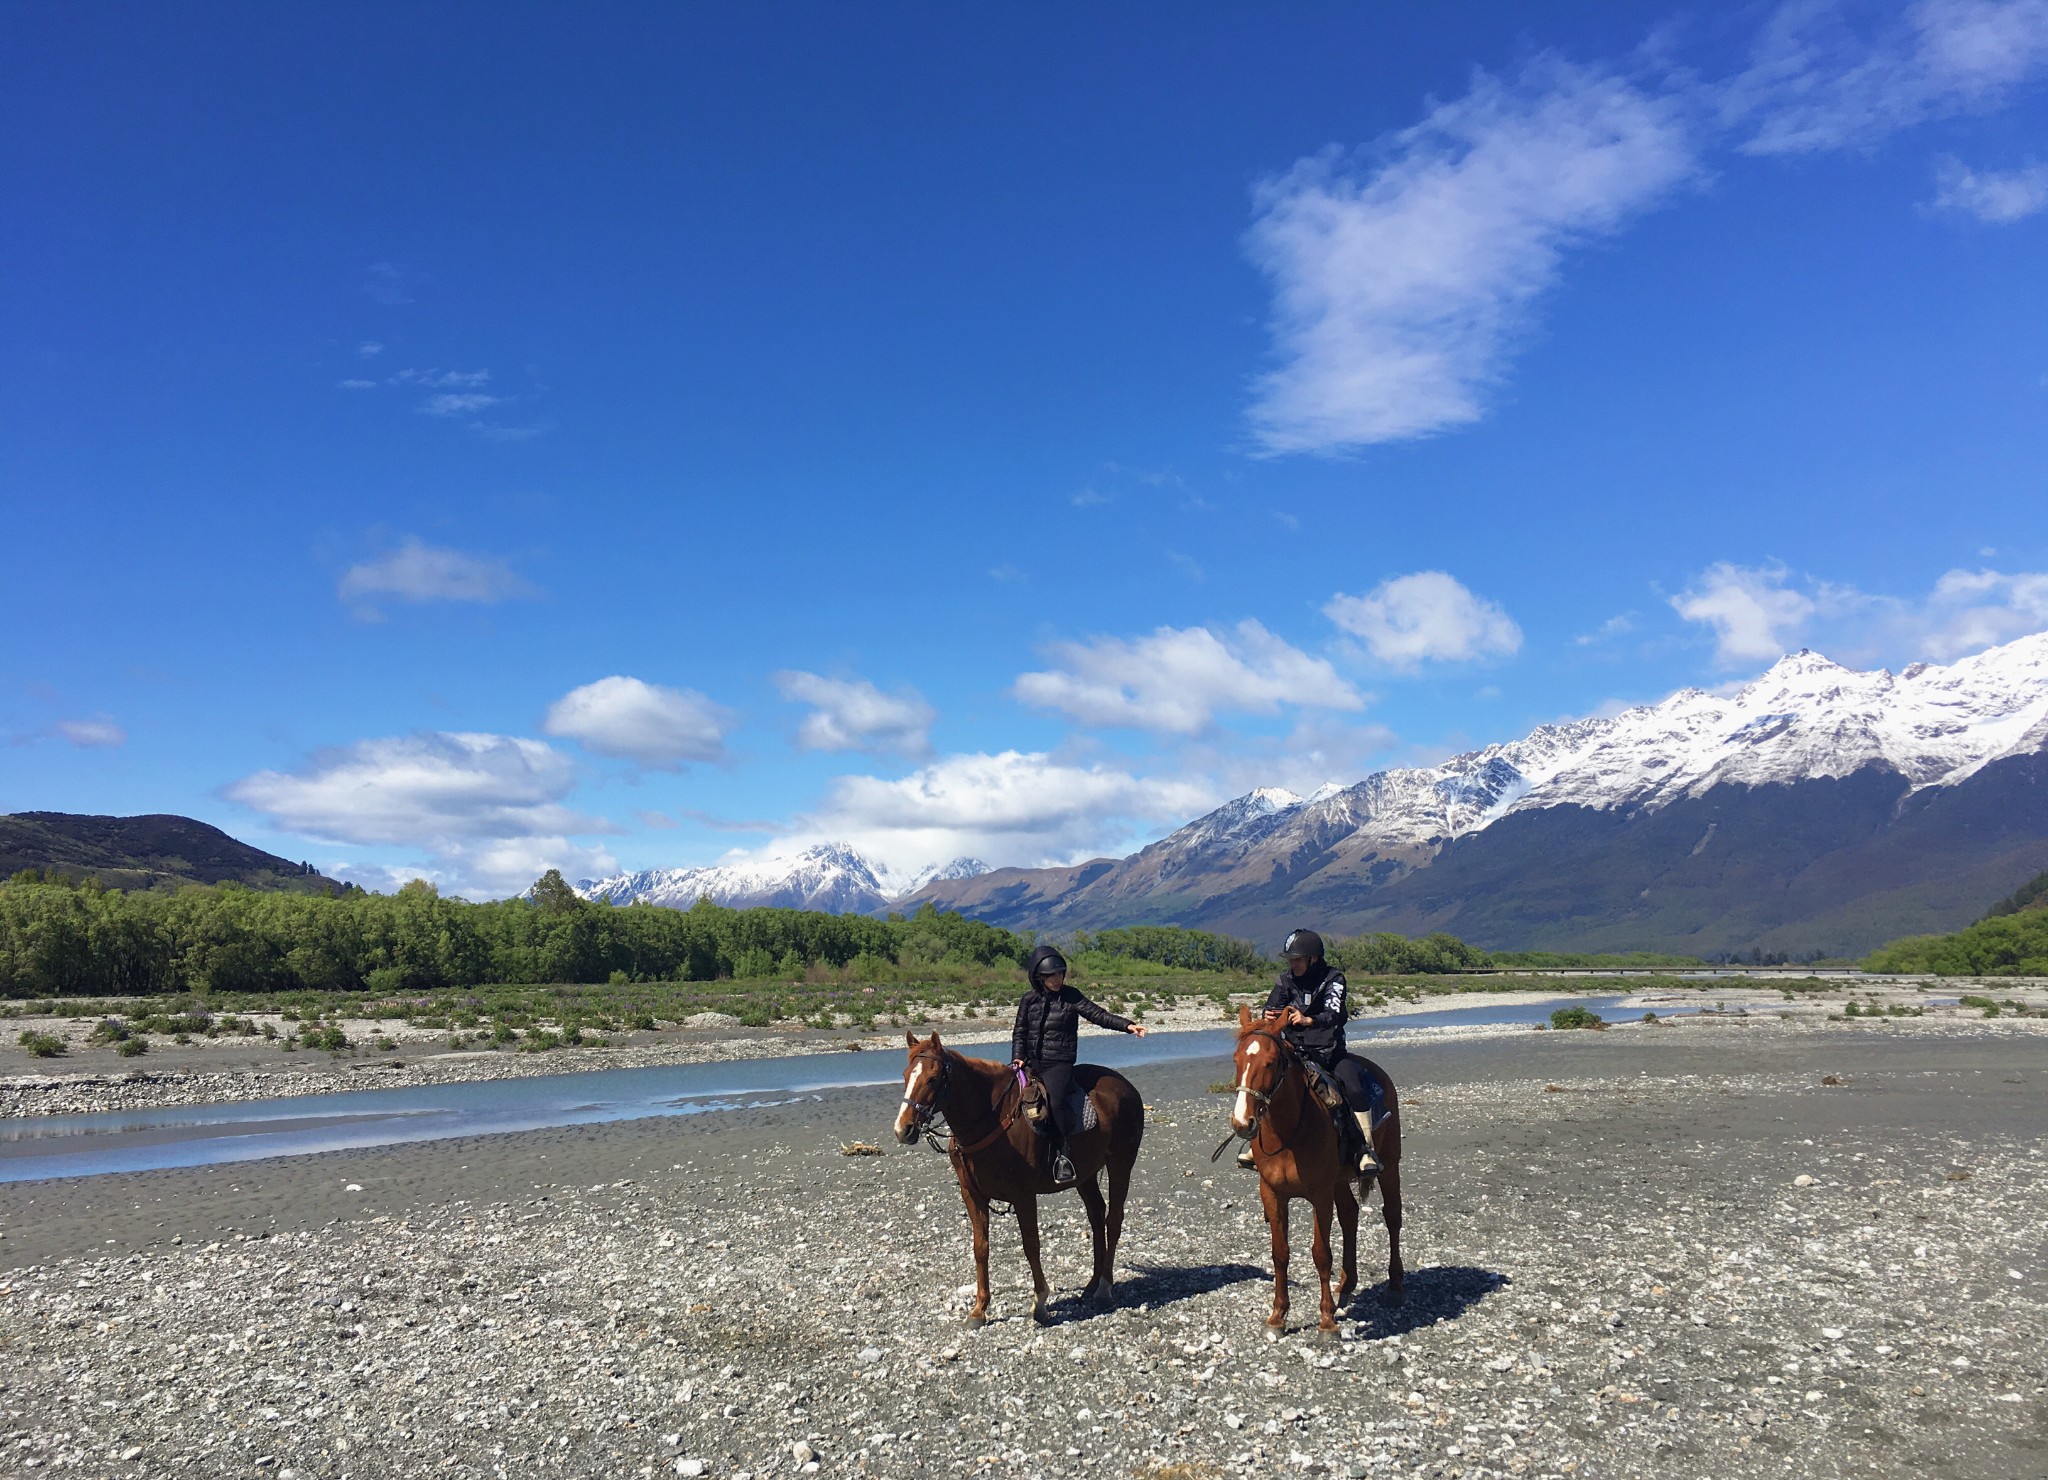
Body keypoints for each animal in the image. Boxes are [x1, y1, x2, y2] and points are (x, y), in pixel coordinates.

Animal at [897, 1035, 1146, 1326]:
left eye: (933, 1079)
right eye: (906, 1075)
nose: (903, 1129)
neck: (991, 1118)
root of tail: (1125, 1087)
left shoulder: (1023, 1195)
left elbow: (1031, 1245)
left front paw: (1040, 1302)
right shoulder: (973, 1194)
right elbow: (980, 1248)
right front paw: (979, 1309)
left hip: (1121, 1163)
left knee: (1113, 1220)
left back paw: (1105, 1287)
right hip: (1086, 1175)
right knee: (1097, 1216)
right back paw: (1092, 1284)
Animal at [1220, 1007, 1400, 1334]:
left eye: (1270, 1062)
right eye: (1237, 1061)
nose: (1242, 1123)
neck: (1290, 1131)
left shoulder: (1320, 1194)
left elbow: (1321, 1253)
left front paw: (1326, 1320)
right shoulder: (1272, 1193)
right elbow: (1280, 1253)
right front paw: (1278, 1316)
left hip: (1390, 1166)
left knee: (1393, 1217)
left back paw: (1396, 1287)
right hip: (1340, 1181)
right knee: (1350, 1215)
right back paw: (1346, 1285)